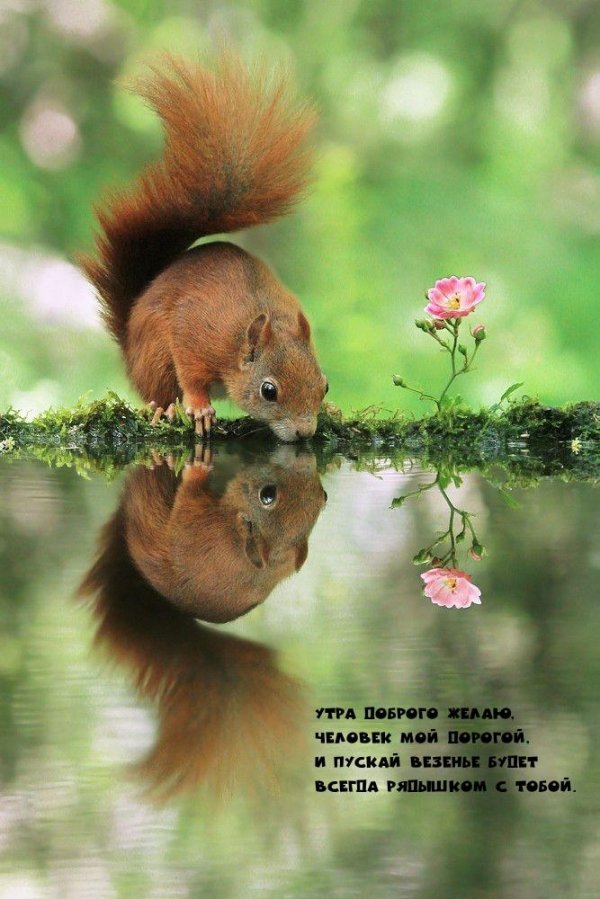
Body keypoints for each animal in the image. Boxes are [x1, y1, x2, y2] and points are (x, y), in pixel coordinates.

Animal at [81, 53, 328, 441]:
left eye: (325, 385)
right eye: (268, 391)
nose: (305, 433)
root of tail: (128, 345)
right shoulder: (195, 332)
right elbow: (191, 375)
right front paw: (198, 407)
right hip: (154, 354)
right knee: (159, 388)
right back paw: (165, 407)